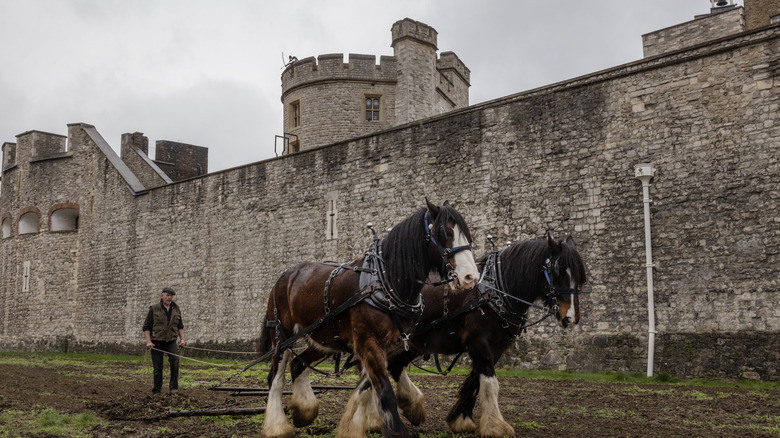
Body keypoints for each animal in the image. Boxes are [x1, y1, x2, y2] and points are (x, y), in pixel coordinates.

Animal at [256, 200, 478, 438]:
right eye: (446, 232)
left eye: (467, 234)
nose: (471, 277)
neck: (385, 282)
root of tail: (285, 275)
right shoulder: (368, 343)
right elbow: (385, 390)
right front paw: (393, 428)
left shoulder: (389, 344)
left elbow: (370, 384)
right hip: (282, 336)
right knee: (276, 378)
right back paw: (277, 426)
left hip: (323, 338)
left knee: (298, 364)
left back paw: (304, 411)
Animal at [386, 234, 588, 436]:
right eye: (557, 272)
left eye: (579, 277)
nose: (571, 318)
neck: (494, 291)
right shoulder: (478, 342)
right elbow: (491, 384)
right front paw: (495, 426)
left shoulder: (496, 348)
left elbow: (476, 381)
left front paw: (461, 419)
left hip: (417, 342)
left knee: (395, 364)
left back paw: (411, 406)